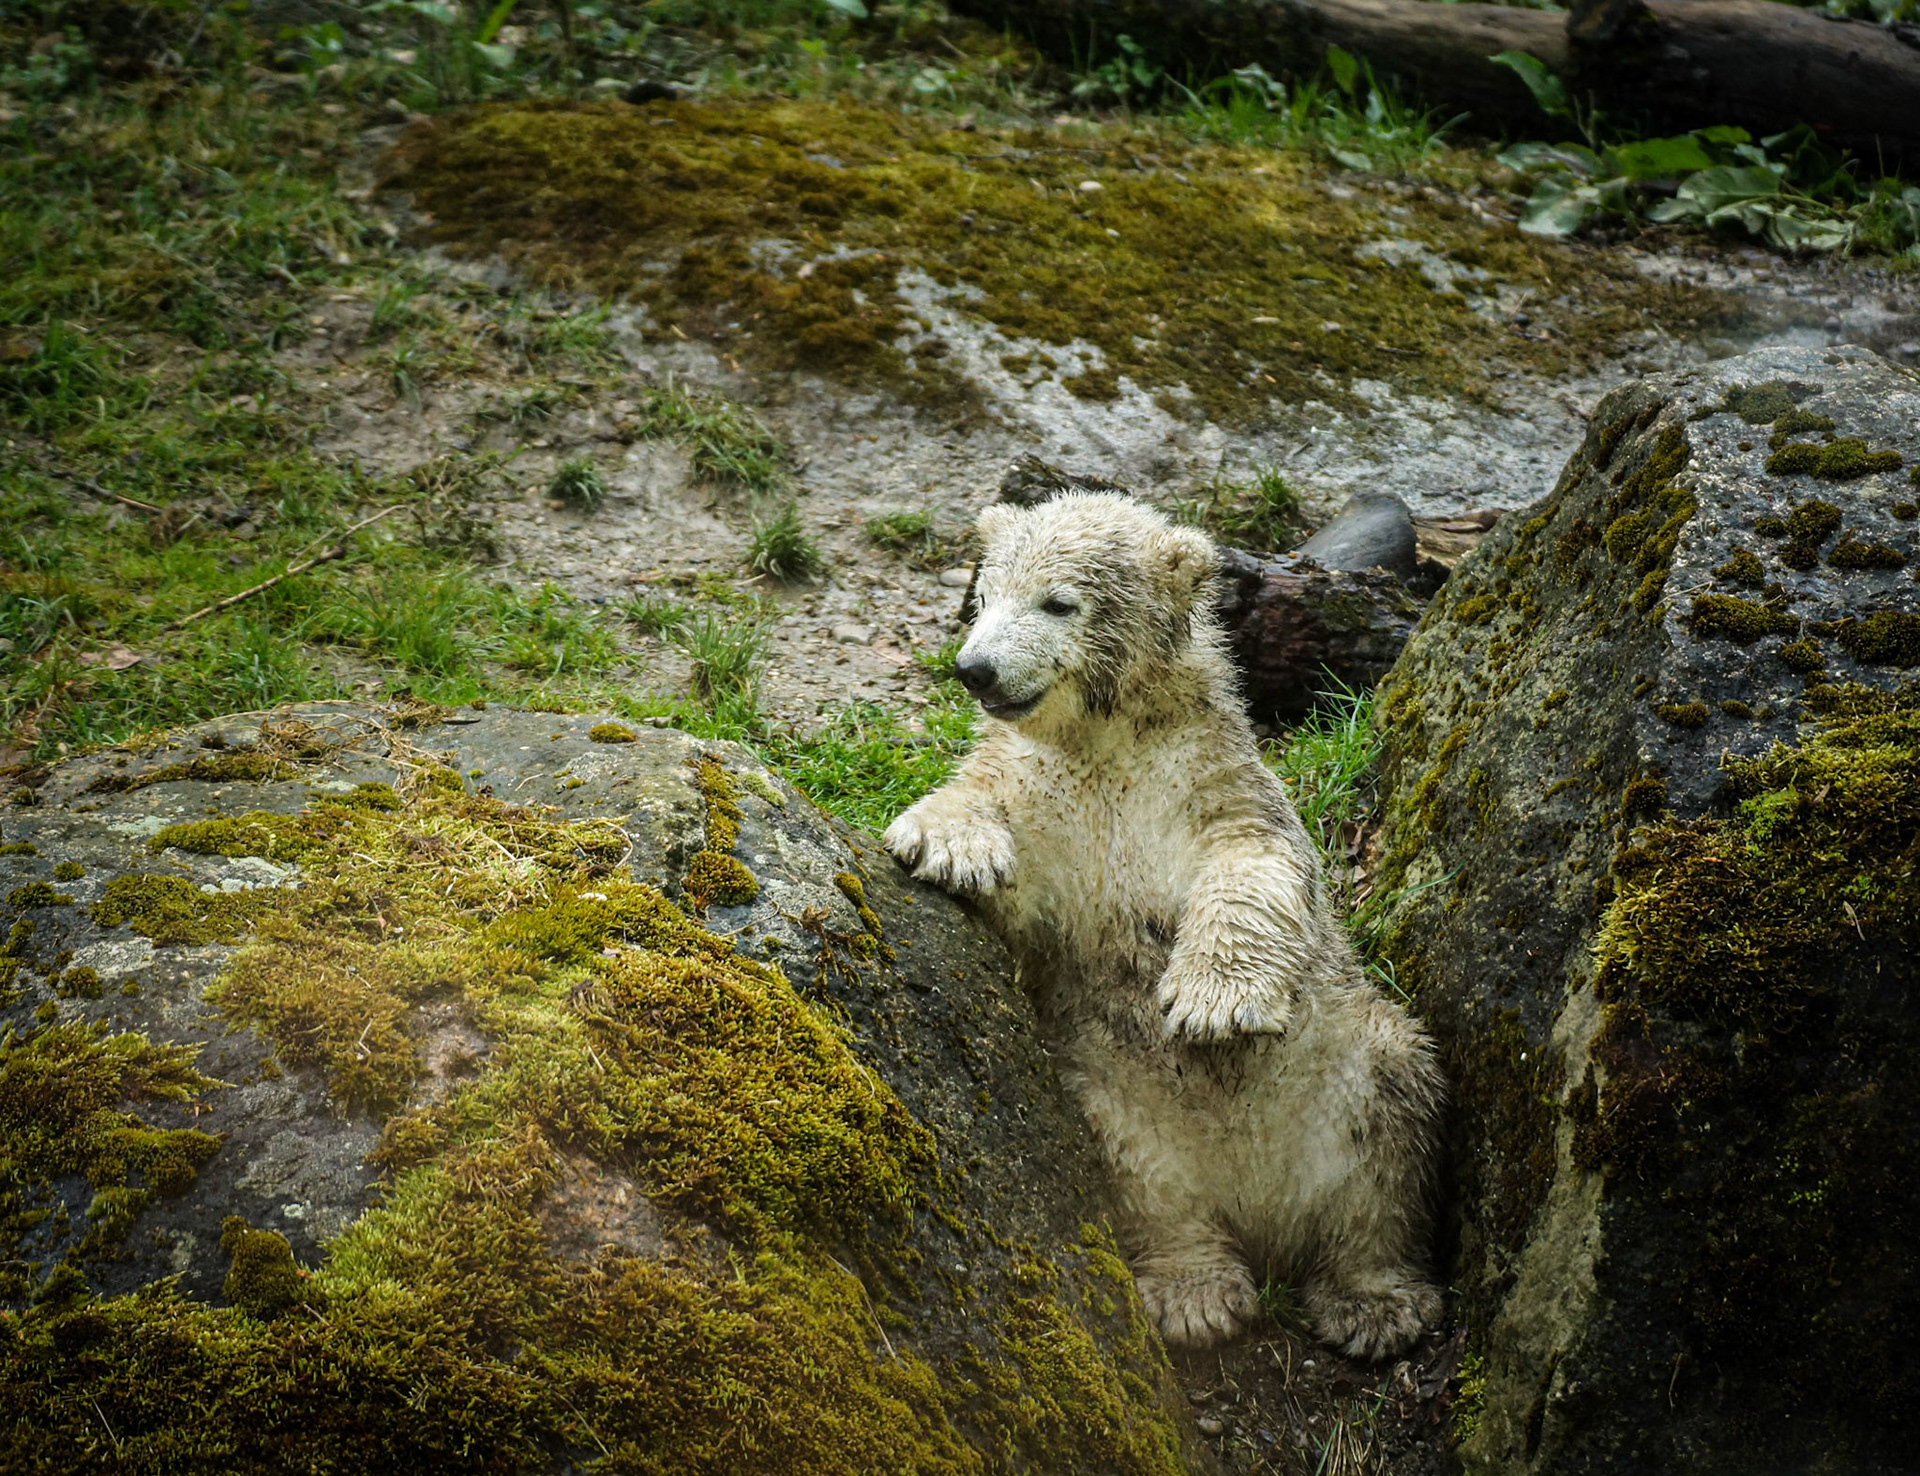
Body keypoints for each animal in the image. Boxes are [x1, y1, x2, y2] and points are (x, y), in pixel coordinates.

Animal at [884, 490, 1444, 1357]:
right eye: (984, 598)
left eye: (1057, 602)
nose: (975, 669)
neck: (1106, 740)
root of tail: (1261, 1207)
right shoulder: (1040, 790)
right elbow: (1004, 853)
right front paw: (949, 843)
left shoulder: (1207, 776)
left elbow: (1254, 864)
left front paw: (1213, 1004)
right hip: (1112, 1094)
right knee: (1146, 1179)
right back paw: (1196, 1292)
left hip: (1349, 1065)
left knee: (1385, 1140)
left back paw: (1374, 1301)